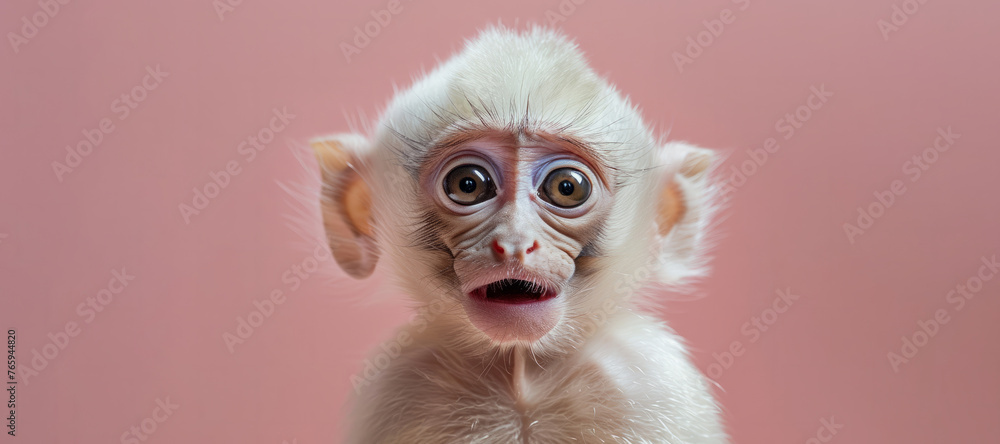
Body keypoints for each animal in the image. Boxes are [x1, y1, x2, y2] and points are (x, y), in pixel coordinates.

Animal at [312, 26, 727, 443]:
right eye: (468, 184)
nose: (514, 243)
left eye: (567, 187)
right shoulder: (396, 385)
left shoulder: (648, 380)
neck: (521, 377)